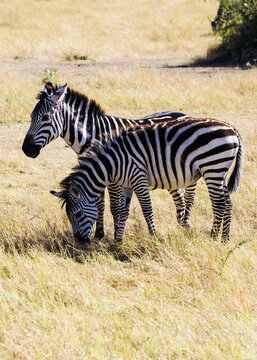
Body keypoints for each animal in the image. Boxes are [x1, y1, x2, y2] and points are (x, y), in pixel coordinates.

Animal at [22, 82, 196, 239]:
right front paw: (99, 234)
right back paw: (180, 225)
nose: (26, 149)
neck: (94, 135)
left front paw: (115, 235)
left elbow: (114, 207)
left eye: (45, 118)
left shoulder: (112, 176)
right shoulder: (96, 171)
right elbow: (100, 204)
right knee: (179, 195)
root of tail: (183, 113)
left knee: (188, 195)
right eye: (31, 117)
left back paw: (186, 225)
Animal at [50, 116, 242, 243]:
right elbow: (122, 211)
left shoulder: (138, 178)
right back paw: (225, 239)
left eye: (77, 214)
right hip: (221, 172)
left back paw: (213, 237)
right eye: (69, 216)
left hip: (213, 168)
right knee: (228, 203)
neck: (114, 161)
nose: (79, 241)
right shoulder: (126, 185)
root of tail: (232, 128)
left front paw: (153, 236)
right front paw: (118, 241)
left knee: (219, 204)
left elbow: (147, 210)